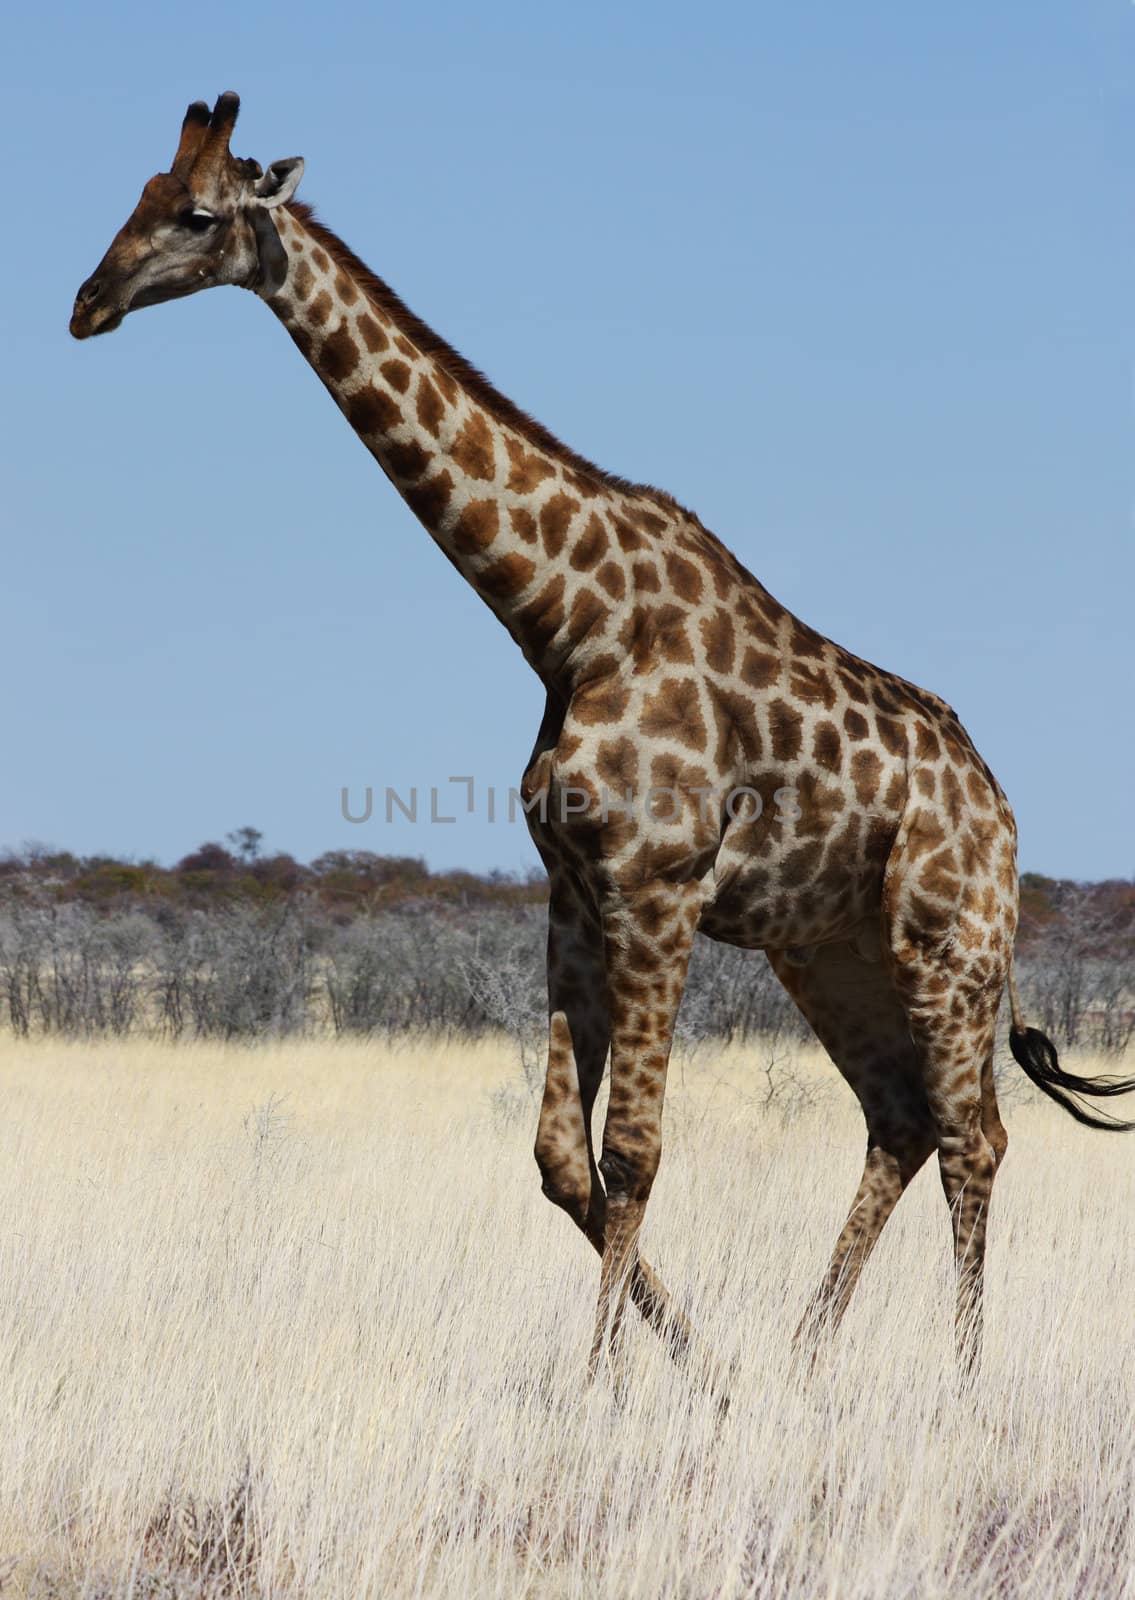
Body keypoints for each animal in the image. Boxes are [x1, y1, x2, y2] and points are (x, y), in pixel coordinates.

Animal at [73, 93, 1133, 1382]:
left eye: (197, 213)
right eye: (134, 195)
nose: (87, 302)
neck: (564, 621)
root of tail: (1003, 812)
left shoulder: (654, 885)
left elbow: (633, 1150)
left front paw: (598, 1389)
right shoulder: (575, 892)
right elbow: (559, 1162)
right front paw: (705, 1372)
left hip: (946, 940)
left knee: (975, 1133)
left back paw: (963, 1379)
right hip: (828, 949)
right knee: (901, 1117)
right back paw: (800, 1357)